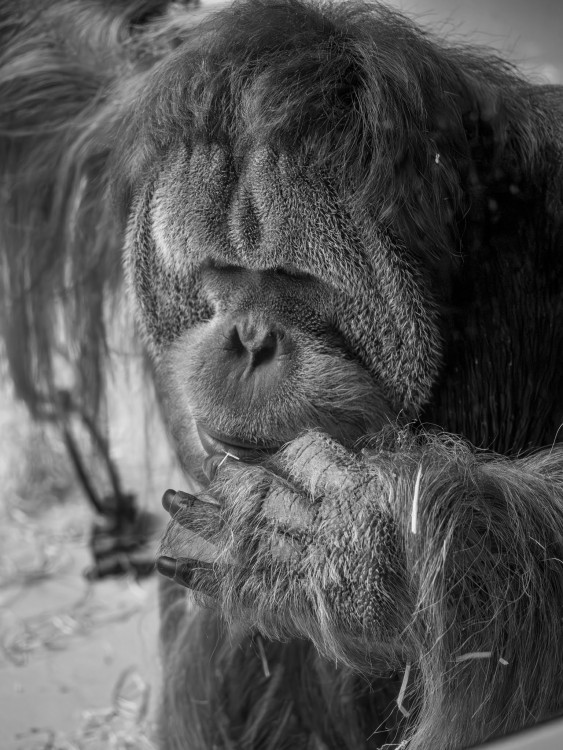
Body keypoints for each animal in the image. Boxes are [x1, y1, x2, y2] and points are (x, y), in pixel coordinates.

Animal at [1, 1, 563, 749]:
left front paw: (350, 544)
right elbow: (52, 51)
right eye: (224, 269)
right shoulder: (120, 99)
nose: (249, 340)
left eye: (293, 278)